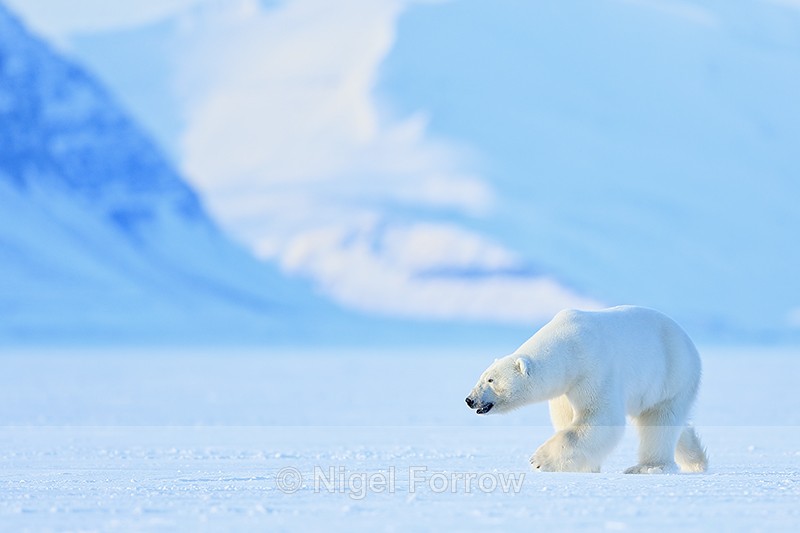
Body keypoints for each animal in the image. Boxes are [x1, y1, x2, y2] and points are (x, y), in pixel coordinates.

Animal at [465, 305, 708, 474]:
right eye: (481, 377)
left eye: (491, 380)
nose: (470, 400)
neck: (570, 345)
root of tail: (689, 342)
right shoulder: (565, 387)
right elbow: (567, 417)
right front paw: (584, 467)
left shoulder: (595, 369)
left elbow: (599, 417)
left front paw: (539, 460)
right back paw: (696, 460)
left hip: (672, 374)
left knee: (659, 421)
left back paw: (648, 467)